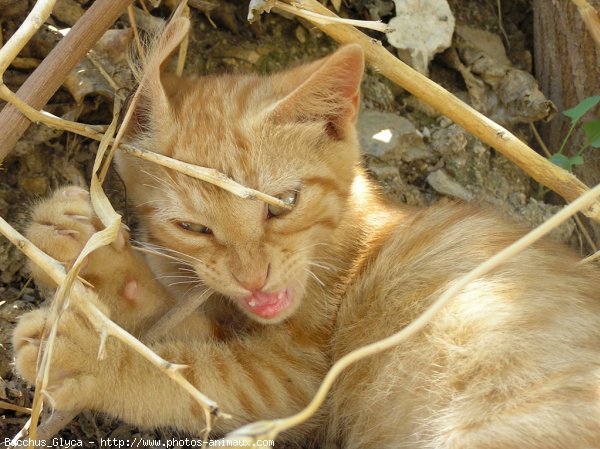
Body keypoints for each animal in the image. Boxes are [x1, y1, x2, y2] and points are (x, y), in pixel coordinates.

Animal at [11, 15, 600, 446]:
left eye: (283, 205)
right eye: (192, 227)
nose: (253, 278)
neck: (354, 245)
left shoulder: (295, 381)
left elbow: (195, 375)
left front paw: (92, 352)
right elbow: (180, 319)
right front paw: (95, 256)